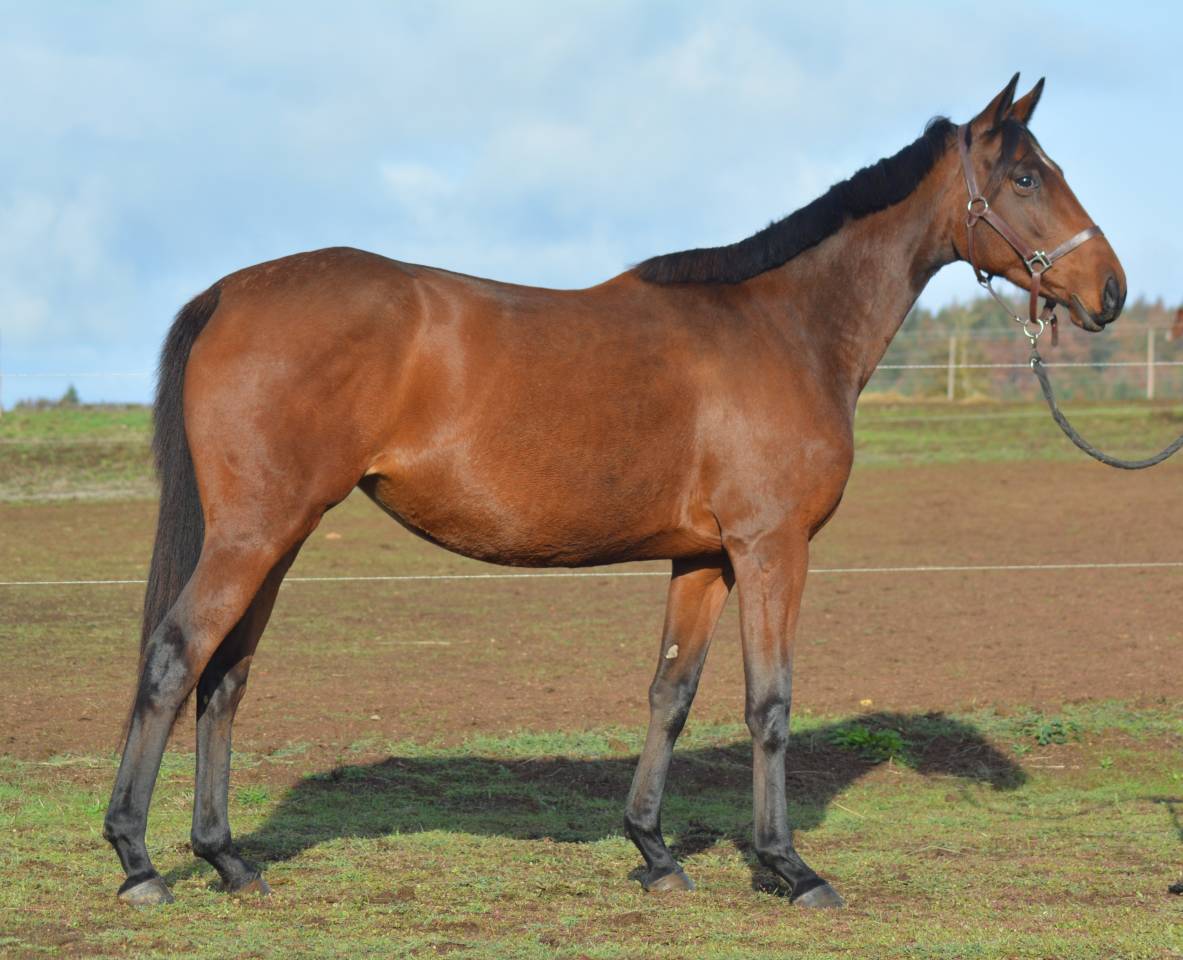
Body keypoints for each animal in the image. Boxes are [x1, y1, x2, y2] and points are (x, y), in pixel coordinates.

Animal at [104, 74, 1126, 908]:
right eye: (1025, 178)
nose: (1108, 291)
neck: (785, 326)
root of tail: (231, 292)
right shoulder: (771, 548)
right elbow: (769, 704)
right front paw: (786, 867)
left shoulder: (704, 557)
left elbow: (670, 692)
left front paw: (654, 851)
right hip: (255, 533)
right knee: (175, 659)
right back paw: (140, 863)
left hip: (276, 538)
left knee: (225, 677)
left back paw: (227, 858)